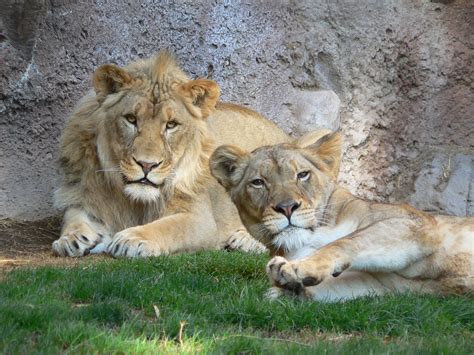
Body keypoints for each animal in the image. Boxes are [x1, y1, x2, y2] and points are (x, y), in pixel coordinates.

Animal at [51, 52, 290, 258]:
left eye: (171, 125)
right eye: (131, 119)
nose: (147, 165)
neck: (134, 201)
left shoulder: (201, 220)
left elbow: (169, 227)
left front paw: (132, 238)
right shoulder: (85, 194)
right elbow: (73, 215)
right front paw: (71, 238)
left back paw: (247, 241)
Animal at [211, 132, 474, 302]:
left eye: (302, 175)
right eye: (258, 182)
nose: (287, 207)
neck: (305, 240)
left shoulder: (415, 224)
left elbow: (345, 242)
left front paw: (296, 269)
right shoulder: (380, 285)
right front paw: (287, 290)